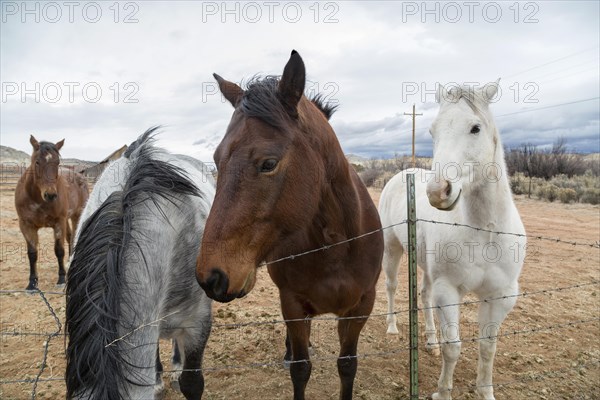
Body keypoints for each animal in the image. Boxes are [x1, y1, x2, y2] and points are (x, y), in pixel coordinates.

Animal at [14, 135, 89, 290]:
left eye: (57, 162)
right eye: (37, 162)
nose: (51, 195)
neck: (37, 199)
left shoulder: (58, 222)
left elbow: (59, 250)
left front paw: (61, 279)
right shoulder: (26, 225)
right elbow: (32, 253)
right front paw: (32, 283)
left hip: (76, 215)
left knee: (74, 236)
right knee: (70, 236)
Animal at [197, 51, 384, 398]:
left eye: (268, 163)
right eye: (217, 160)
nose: (210, 277)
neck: (336, 246)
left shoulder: (361, 305)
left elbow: (347, 365)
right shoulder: (293, 304)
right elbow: (300, 369)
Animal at [380, 82, 524, 400]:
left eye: (475, 128)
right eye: (432, 131)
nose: (437, 191)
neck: (485, 233)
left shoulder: (500, 297)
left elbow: (488, 348)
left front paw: (486, 392)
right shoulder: (449, 291)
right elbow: (454, 348)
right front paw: (442, 391)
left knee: (424, 296)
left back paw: (430, 342)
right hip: (392, 248)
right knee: (392, 286)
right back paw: (392, 328)